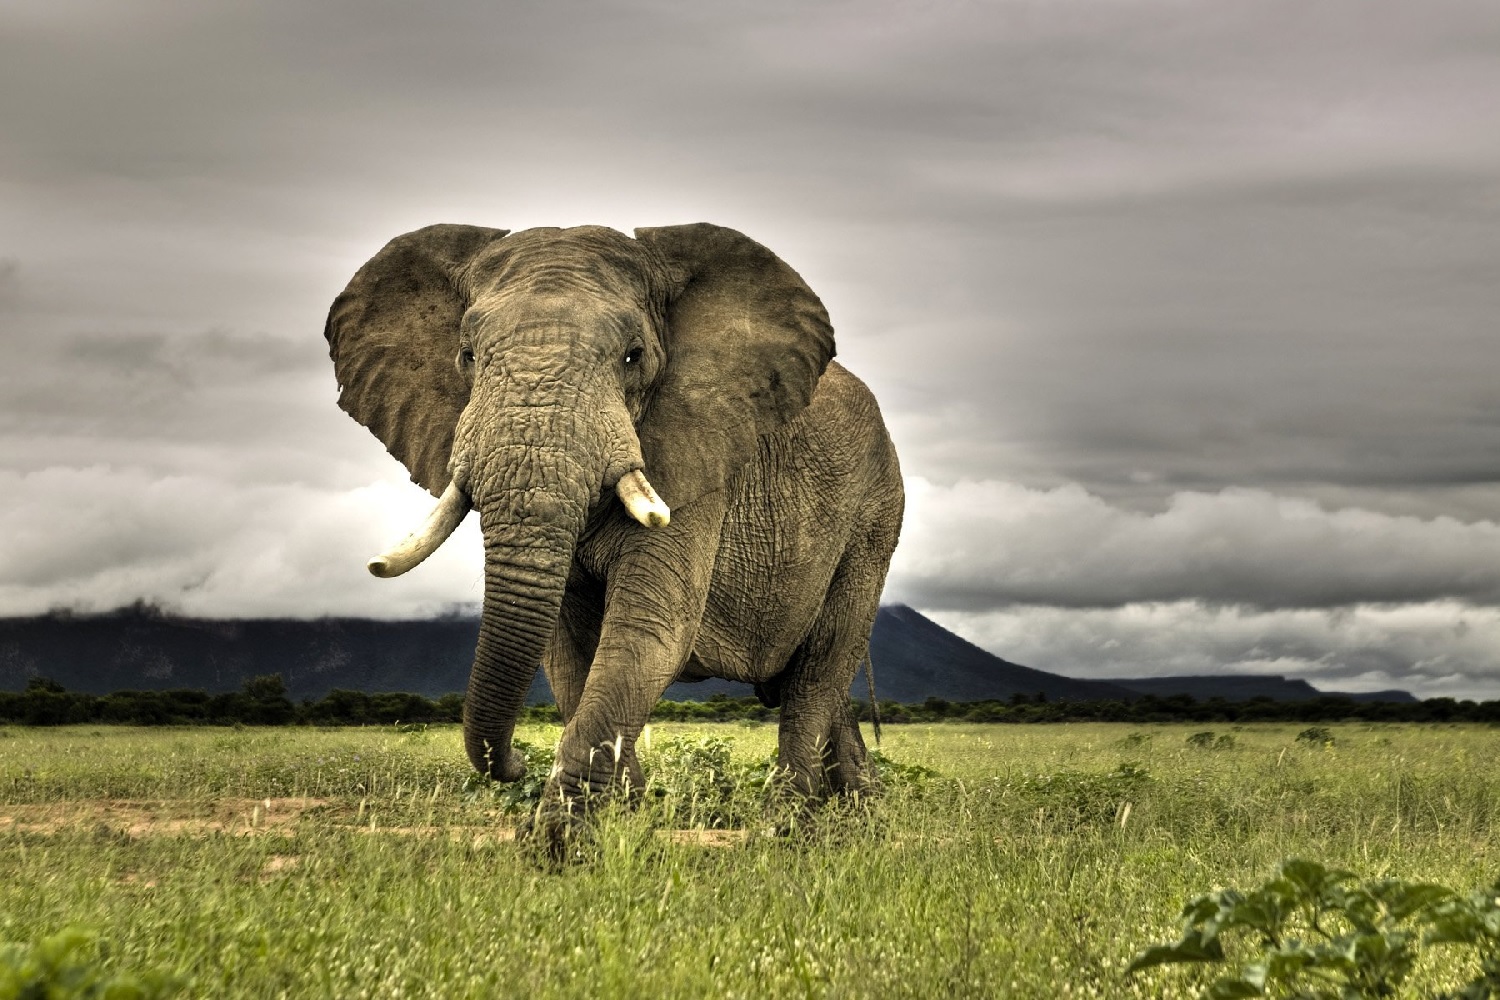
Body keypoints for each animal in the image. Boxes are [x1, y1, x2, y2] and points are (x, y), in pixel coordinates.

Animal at [324, 222, 903, 848]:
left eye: (634, 356)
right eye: (467, 355)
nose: (515, 764)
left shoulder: (697, 462)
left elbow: (647, 631)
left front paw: (557, 846)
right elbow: (567, 650)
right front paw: (624, 820)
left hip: (875, 516)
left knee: (819, 669)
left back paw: (788, 830)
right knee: (815, 682)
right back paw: (859, 816)